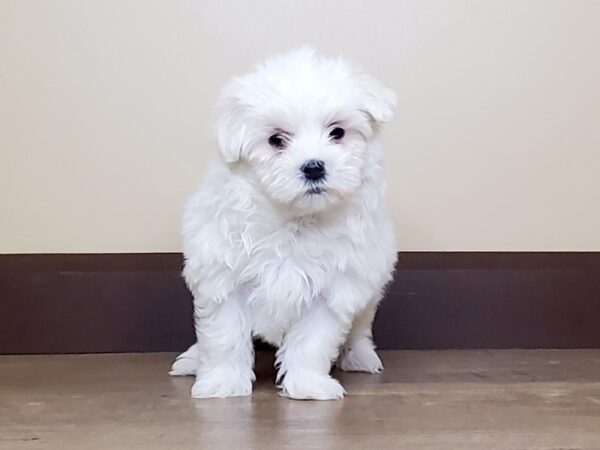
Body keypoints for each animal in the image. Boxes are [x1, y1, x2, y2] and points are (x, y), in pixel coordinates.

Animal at [169, 47, 398, 400]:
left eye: (337, 132)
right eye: (276, 140)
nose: (314, 167)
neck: (295, 220)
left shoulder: (332, 289)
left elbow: (312, 342)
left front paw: (308, 385)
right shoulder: (223, 278)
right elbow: (223, 337)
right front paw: (223, 383)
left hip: (371, 288)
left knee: (360, 328)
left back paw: (360, 356)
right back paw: (193, 360)